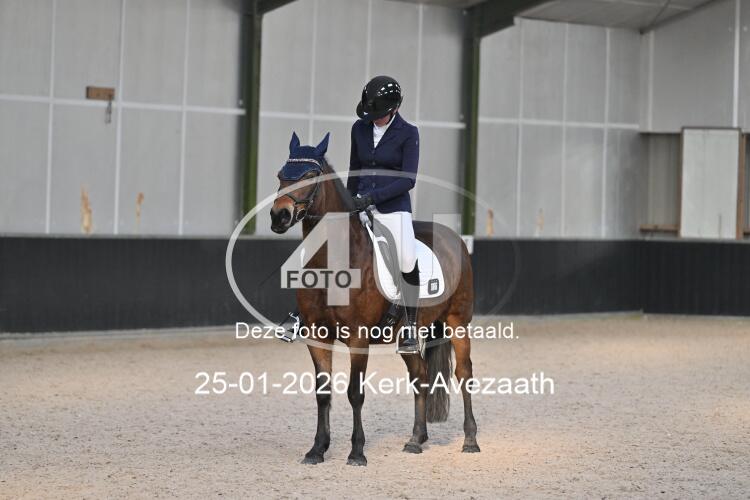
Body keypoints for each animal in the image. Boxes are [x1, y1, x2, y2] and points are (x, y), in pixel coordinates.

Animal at [269, 132, 479, 466]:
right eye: (280, 175)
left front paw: (356, 452)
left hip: (458, 322)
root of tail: (455, 238)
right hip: (409, 334)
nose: (279, 216)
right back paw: (416, 439)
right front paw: (317, 449)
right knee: (420, 375)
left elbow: (355, 393)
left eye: (310, 175)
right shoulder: (317, 335)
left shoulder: (358, 337)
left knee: (464, 374)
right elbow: (323, 392)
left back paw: (470, 439)